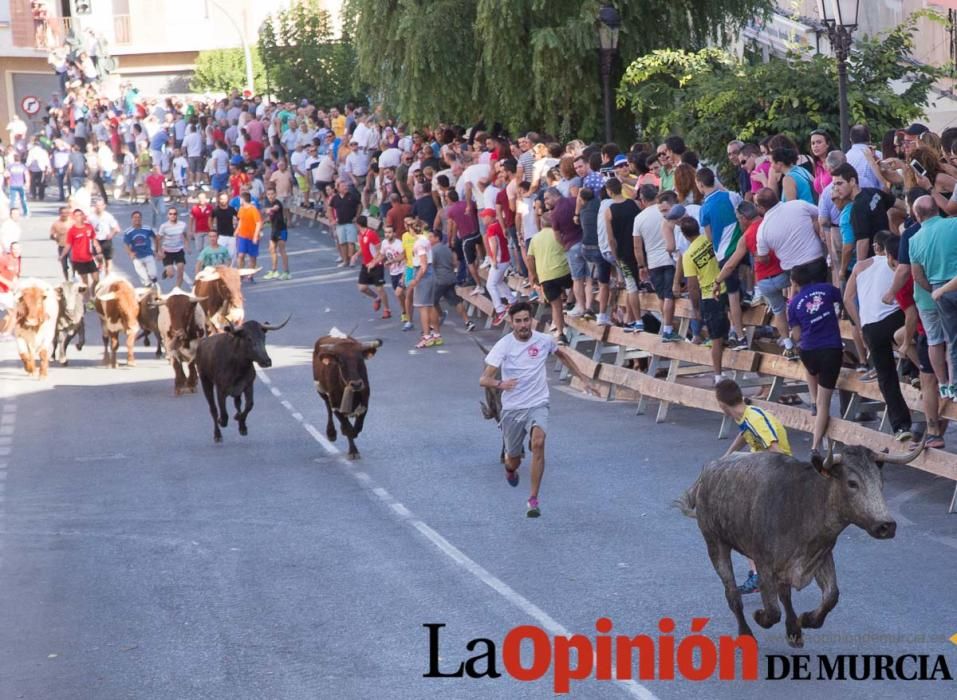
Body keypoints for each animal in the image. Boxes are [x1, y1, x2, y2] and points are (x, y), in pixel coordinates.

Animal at [310, 332, 378, 460]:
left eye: (361, 359)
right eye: (341, 361)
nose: (356, 384)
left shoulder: (365, 403)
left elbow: (357, 427)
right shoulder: (336, 405)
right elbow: (348, 428)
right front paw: (353, 451)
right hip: (321, 391)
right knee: (328, 407)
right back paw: (331, 433)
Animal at [676, 440, 924, 648]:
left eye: (881, 483)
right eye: (852, 483)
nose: (886, 526)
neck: (804, 504)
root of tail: (709, 470)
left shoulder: (821, 555)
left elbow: (831, 596)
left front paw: (806, 620)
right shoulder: (764, 563)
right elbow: (772, 610)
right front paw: (761, 616)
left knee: (784, 594)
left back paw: (793, 630)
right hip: (715, 543)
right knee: (733, 595)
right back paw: (746, 634)